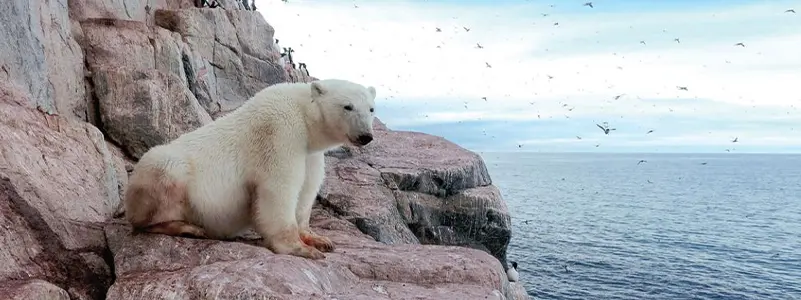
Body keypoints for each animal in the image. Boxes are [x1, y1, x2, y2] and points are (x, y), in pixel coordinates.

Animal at [122, 78, 378, 258]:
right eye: (347, 106)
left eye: (371, 109)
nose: (366, 136)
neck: (304, 114)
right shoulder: (280, 131)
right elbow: (279, 188)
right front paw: (299, 249)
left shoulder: (309, 152)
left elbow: (307, 189)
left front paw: (319, 239)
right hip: (163, 169)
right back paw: (188, 228)